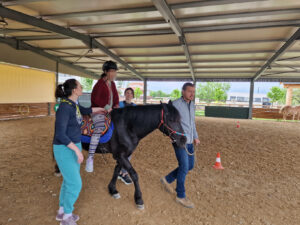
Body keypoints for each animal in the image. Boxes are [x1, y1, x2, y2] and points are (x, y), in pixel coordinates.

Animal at [53, 101, 185, 210]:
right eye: (172, 120)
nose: (184, 140)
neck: (128, 127)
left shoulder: (121, 155)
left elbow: (116, 171)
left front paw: (112, 189)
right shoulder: (120, 155)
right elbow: (134, 175)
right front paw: (138, 199)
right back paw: (58, 169)